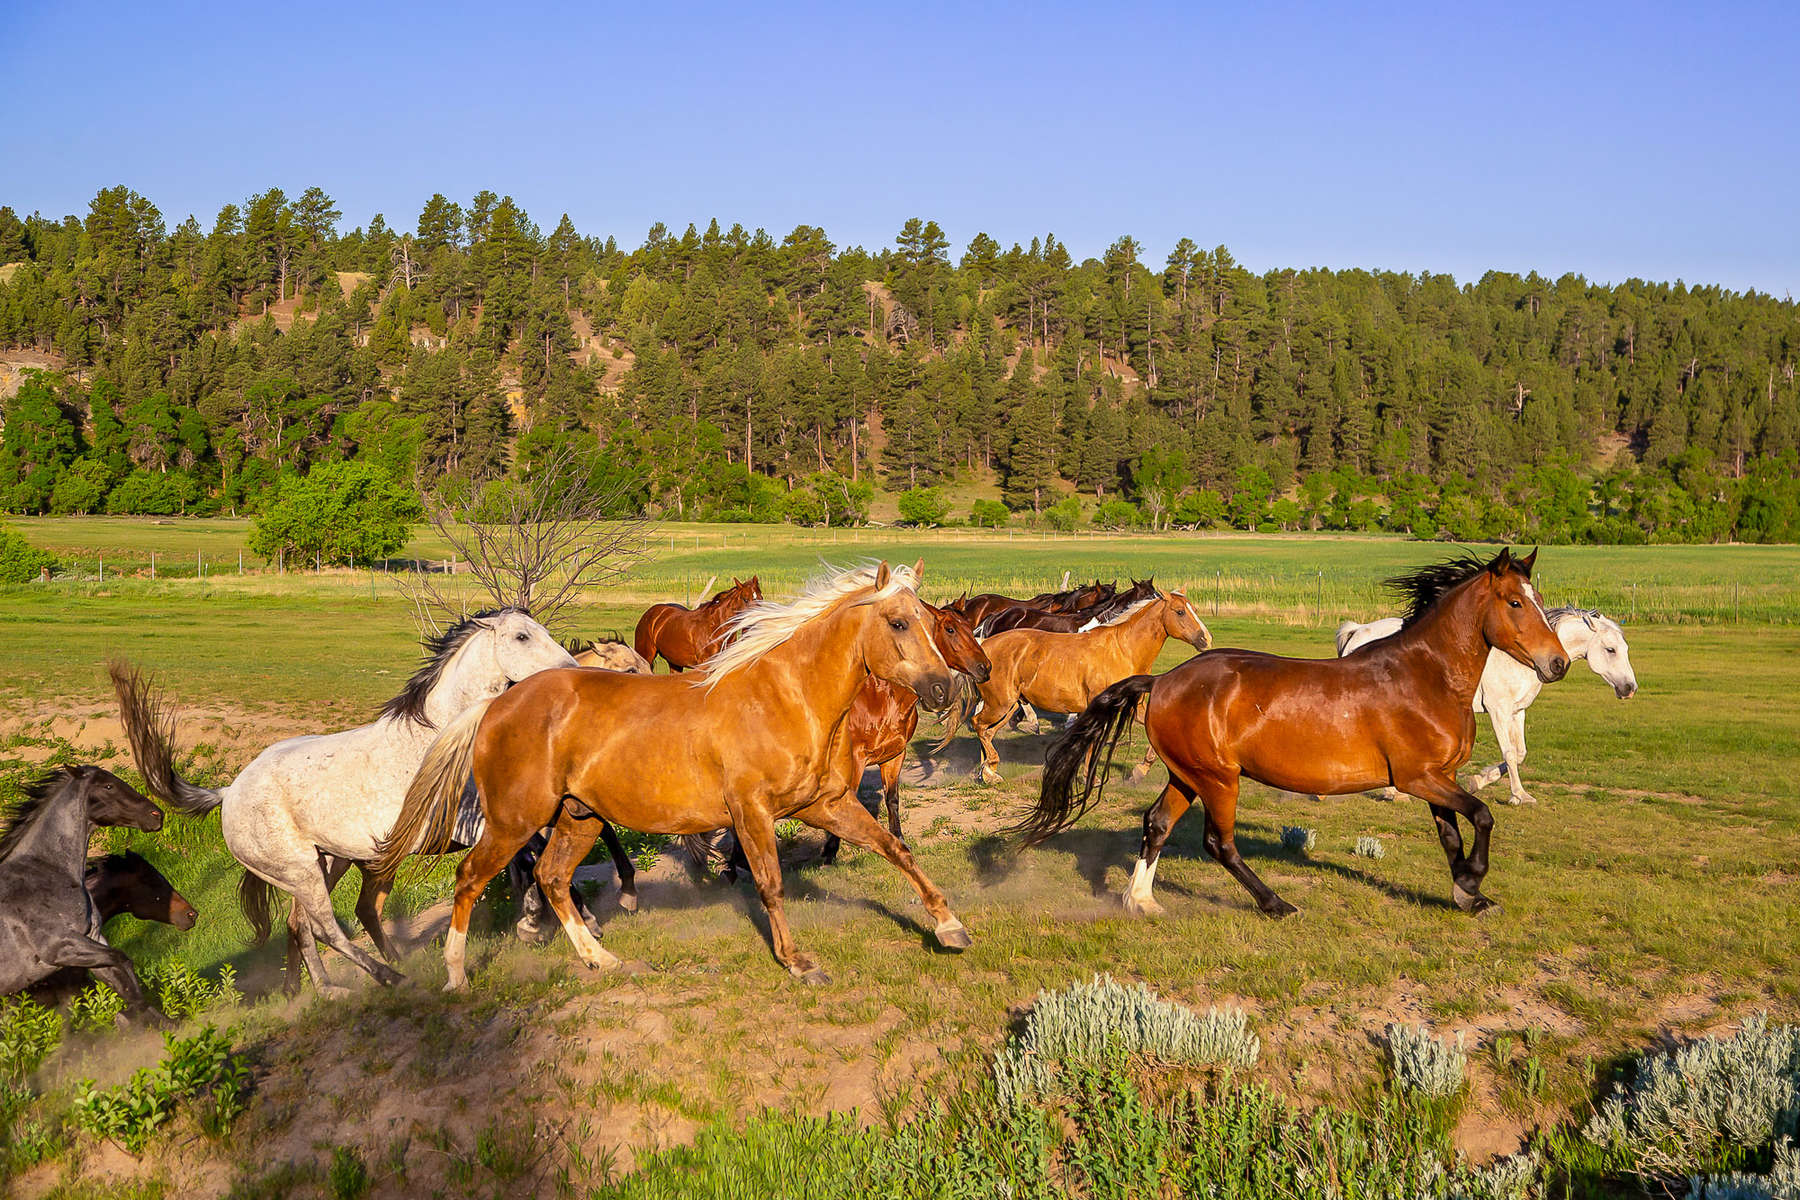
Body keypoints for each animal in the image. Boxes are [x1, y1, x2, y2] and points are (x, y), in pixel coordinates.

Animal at [0, 770, 165, 1014]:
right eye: (108, 786)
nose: (157, 814)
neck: (48, 870)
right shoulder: (59, 947)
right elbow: (120, 959)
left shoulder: (92, 938)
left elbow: (120, 971)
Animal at [374, 564, 972, 985]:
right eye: (898, 622)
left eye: (933, 624)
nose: (943, 688)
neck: (785, 697)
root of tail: (496, 705)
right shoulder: (751, 811)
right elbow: (770, 882)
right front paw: (798, 961)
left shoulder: (824, 804)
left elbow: (895, 849)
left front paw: (949, 927)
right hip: (514, 820)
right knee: (471, 878)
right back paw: (455, 975)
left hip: (578, 818)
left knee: (552, 877)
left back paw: (602, 958)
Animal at [943, 593, 1209, 788]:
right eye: (1180, 611)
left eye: (1192, 608)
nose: (1205, 639)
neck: (1123, 650)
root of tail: (984, 645)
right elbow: (1093, 745)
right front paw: (1089, 778)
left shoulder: (1133, 707)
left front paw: (1138, 772)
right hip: (1000, 704)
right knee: (979, 724)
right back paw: (989, 770)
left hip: (1006, 706)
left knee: (987, 731)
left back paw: (987, 771)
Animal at [1022, 550, 1569, 921]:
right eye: (1516, 602)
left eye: (1540, 601)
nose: (1558, 664)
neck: (1423, 676)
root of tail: (1161, 681)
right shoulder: (1417, 777)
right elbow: (1482, 815)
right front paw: (1473, 883)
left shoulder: (1440, 777)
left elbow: (1453, 832)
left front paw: (1467, 894)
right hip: (1219, 779)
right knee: (1219, 843)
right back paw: (1275, 903)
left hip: (1187, 774)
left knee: (1156, 823)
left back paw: (1140, 901)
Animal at [1332, 600, 1641, 805]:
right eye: (1610, 649)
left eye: (1624, 648)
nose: (1629, 689)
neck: (1523, 658)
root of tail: (1359, 630)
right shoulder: (1499, 711)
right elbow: (1510, 753)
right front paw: (1519, 795)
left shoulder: (1518, 712)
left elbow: (1519, 753)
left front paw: (1479, 781)